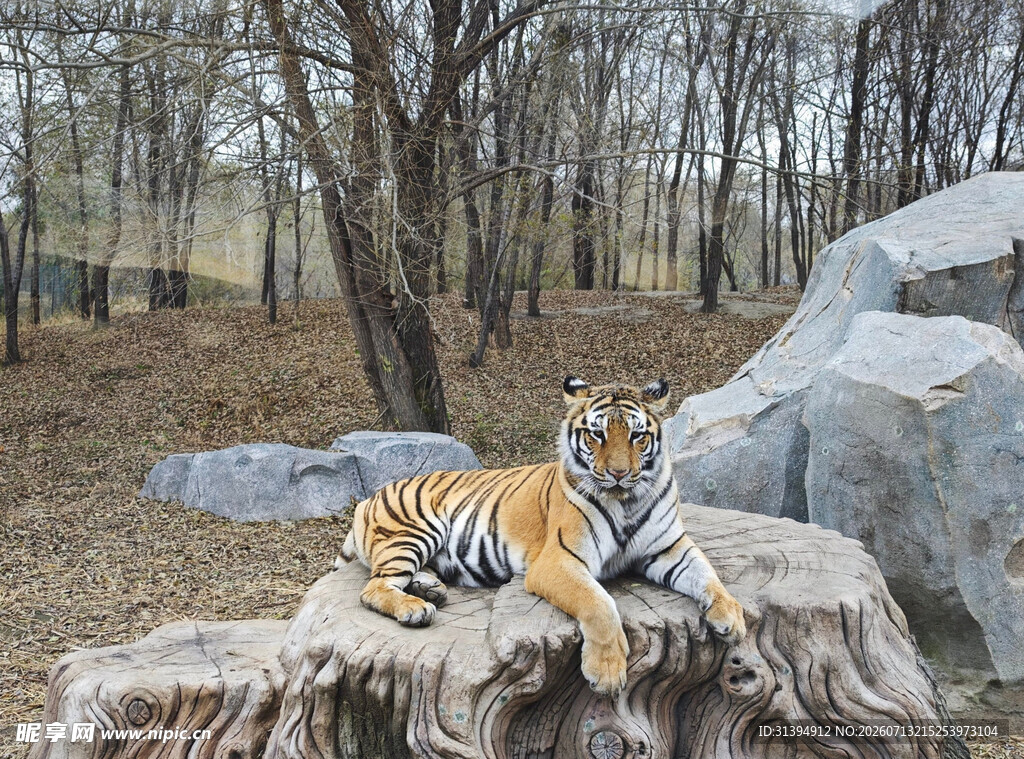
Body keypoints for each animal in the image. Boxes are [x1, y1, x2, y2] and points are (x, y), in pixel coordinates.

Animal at [337, 376, 746, 695]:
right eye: (597, 435)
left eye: (637, 436)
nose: (617, 474)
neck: (626, 500)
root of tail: (367, 498)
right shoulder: (559, 560)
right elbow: (599, 603)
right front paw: (606, 672)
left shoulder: (670, 548)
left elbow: (707, 574)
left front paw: (732, 617)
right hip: (417, 529)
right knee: (372, 587)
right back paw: (416, 608)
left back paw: (429, 588)